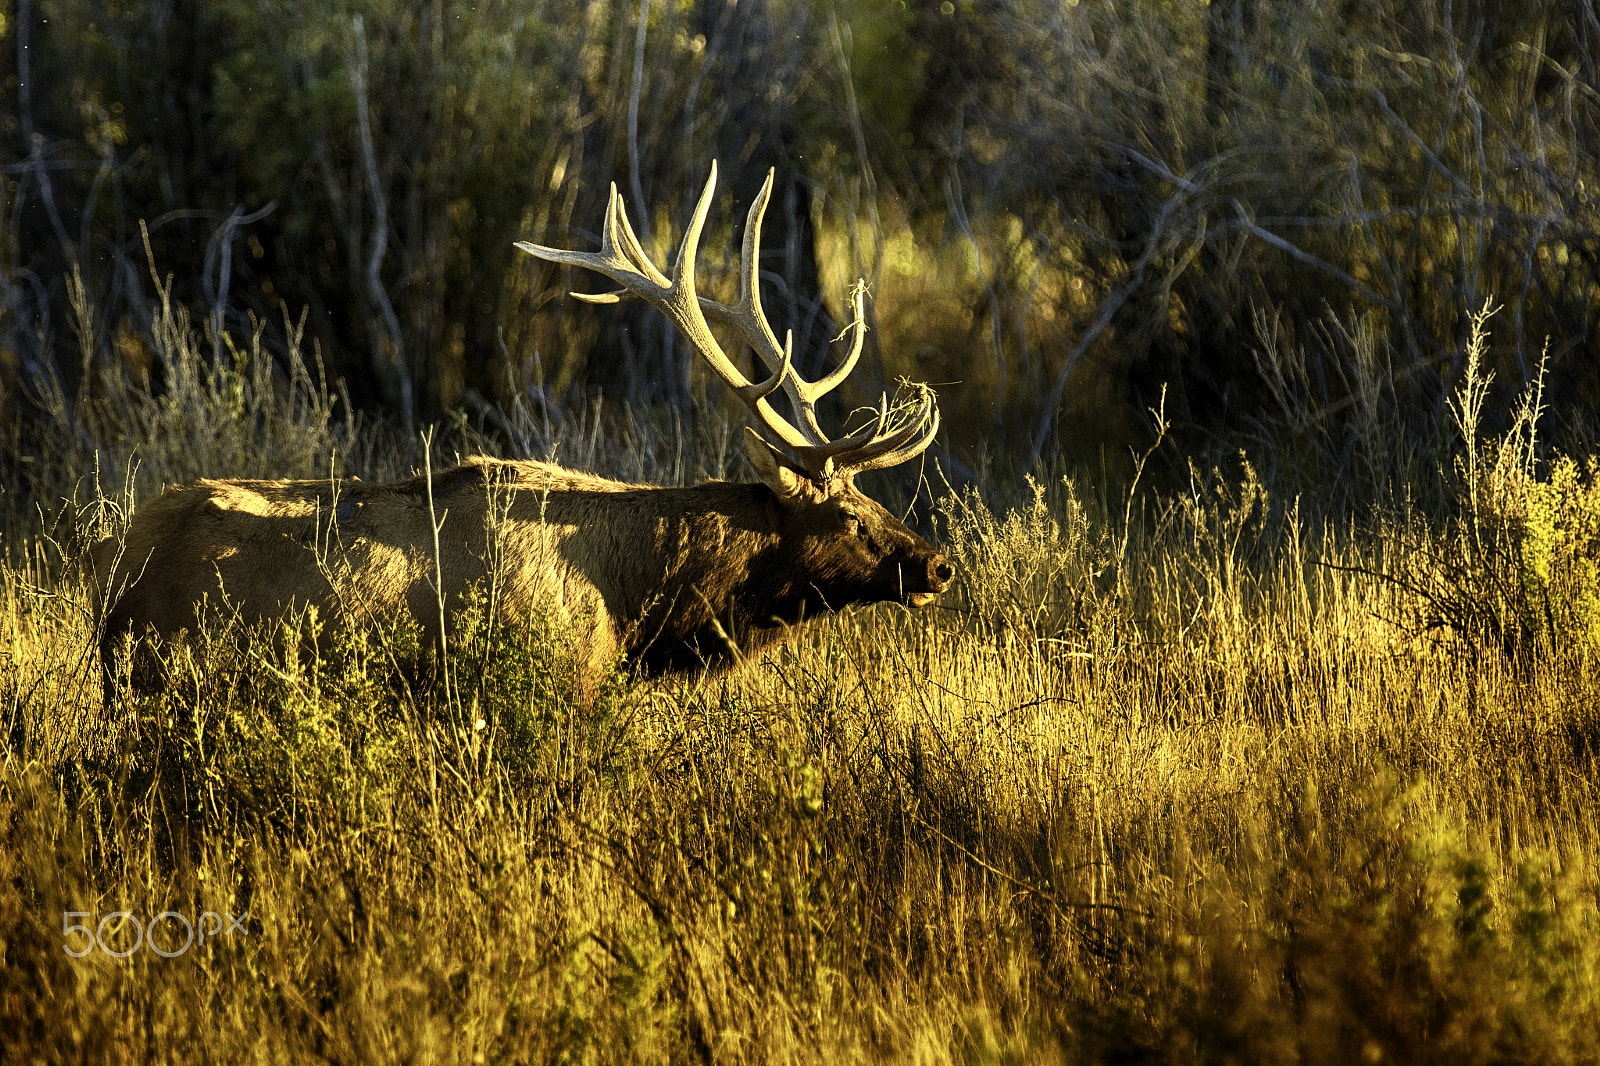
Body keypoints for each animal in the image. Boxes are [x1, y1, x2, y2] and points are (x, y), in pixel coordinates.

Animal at [93, 164, 947, 697]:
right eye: (850, 518)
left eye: (874, 503)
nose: (937, 564)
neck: (631, 600)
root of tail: (111, 578)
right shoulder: (548, 683)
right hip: (163, 682)